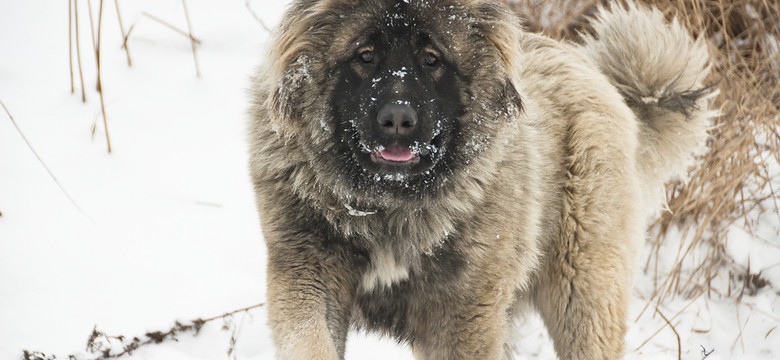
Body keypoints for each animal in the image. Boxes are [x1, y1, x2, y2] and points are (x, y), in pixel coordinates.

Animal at [247, 1, 716, 358]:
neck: (390, 206)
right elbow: (310, 341)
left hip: (582, 296)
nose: (397, 119)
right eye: (365, 55)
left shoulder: (465, 314)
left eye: (432, 59)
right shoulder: (307, 277)